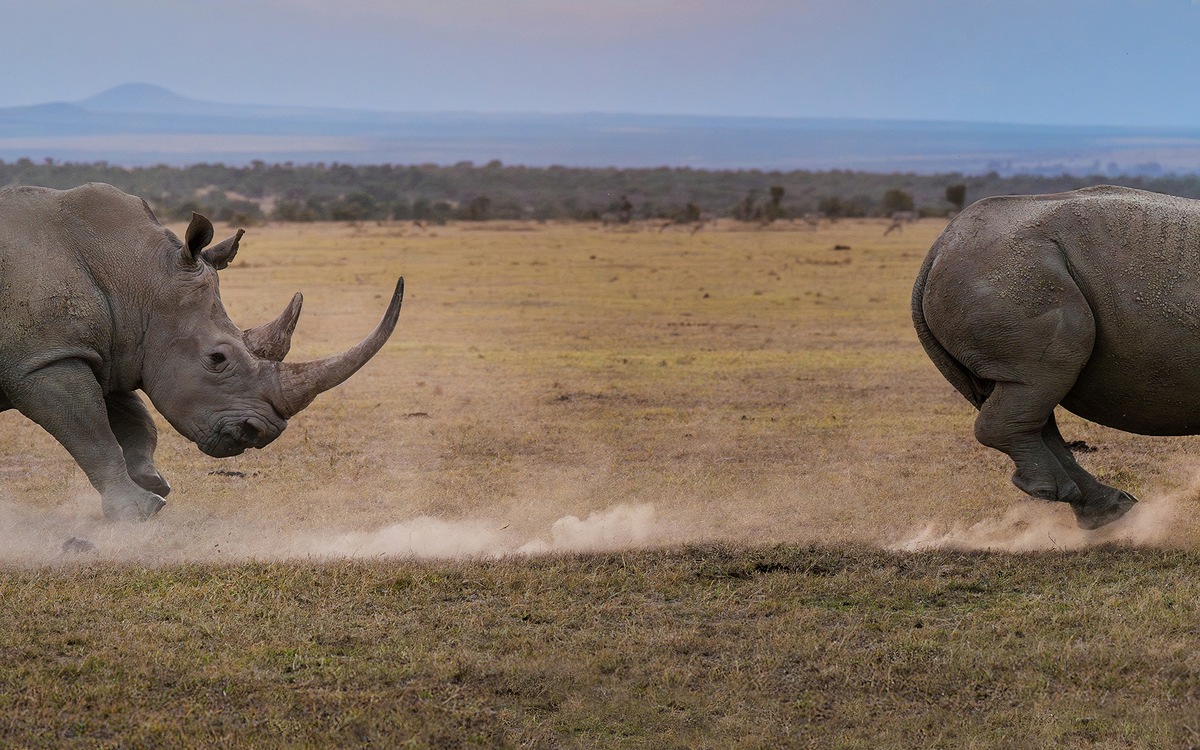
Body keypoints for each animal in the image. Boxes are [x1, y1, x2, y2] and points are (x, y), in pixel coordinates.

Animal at [0, 182, 405, 520]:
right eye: (217, 359)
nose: (261, 433)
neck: (136, 277)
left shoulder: (108, 350)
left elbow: (135, 419)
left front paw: (154, 483)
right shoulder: (46, 360)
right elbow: (92, 432)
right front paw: (141, 510)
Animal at [902, 184, 1200, 530]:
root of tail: (937, 252)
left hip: (994, 277)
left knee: (1026, 396)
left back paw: (1107, 509)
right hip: (1010, 277)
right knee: (1043, 375)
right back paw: (1060, 494)